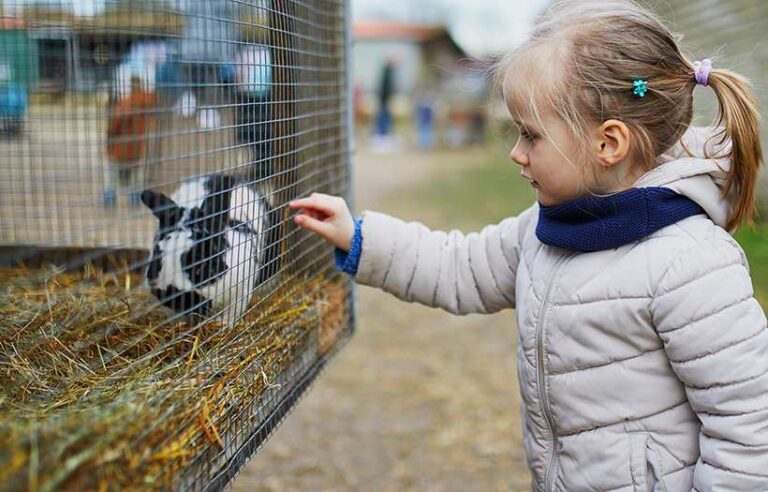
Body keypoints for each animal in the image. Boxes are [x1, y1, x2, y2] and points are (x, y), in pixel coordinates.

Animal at [140, 175, 280, 320]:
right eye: (157, 254)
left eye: (200, 267)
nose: (174, 297)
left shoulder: (242, 289)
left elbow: (233, 312)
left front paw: (223, 323)